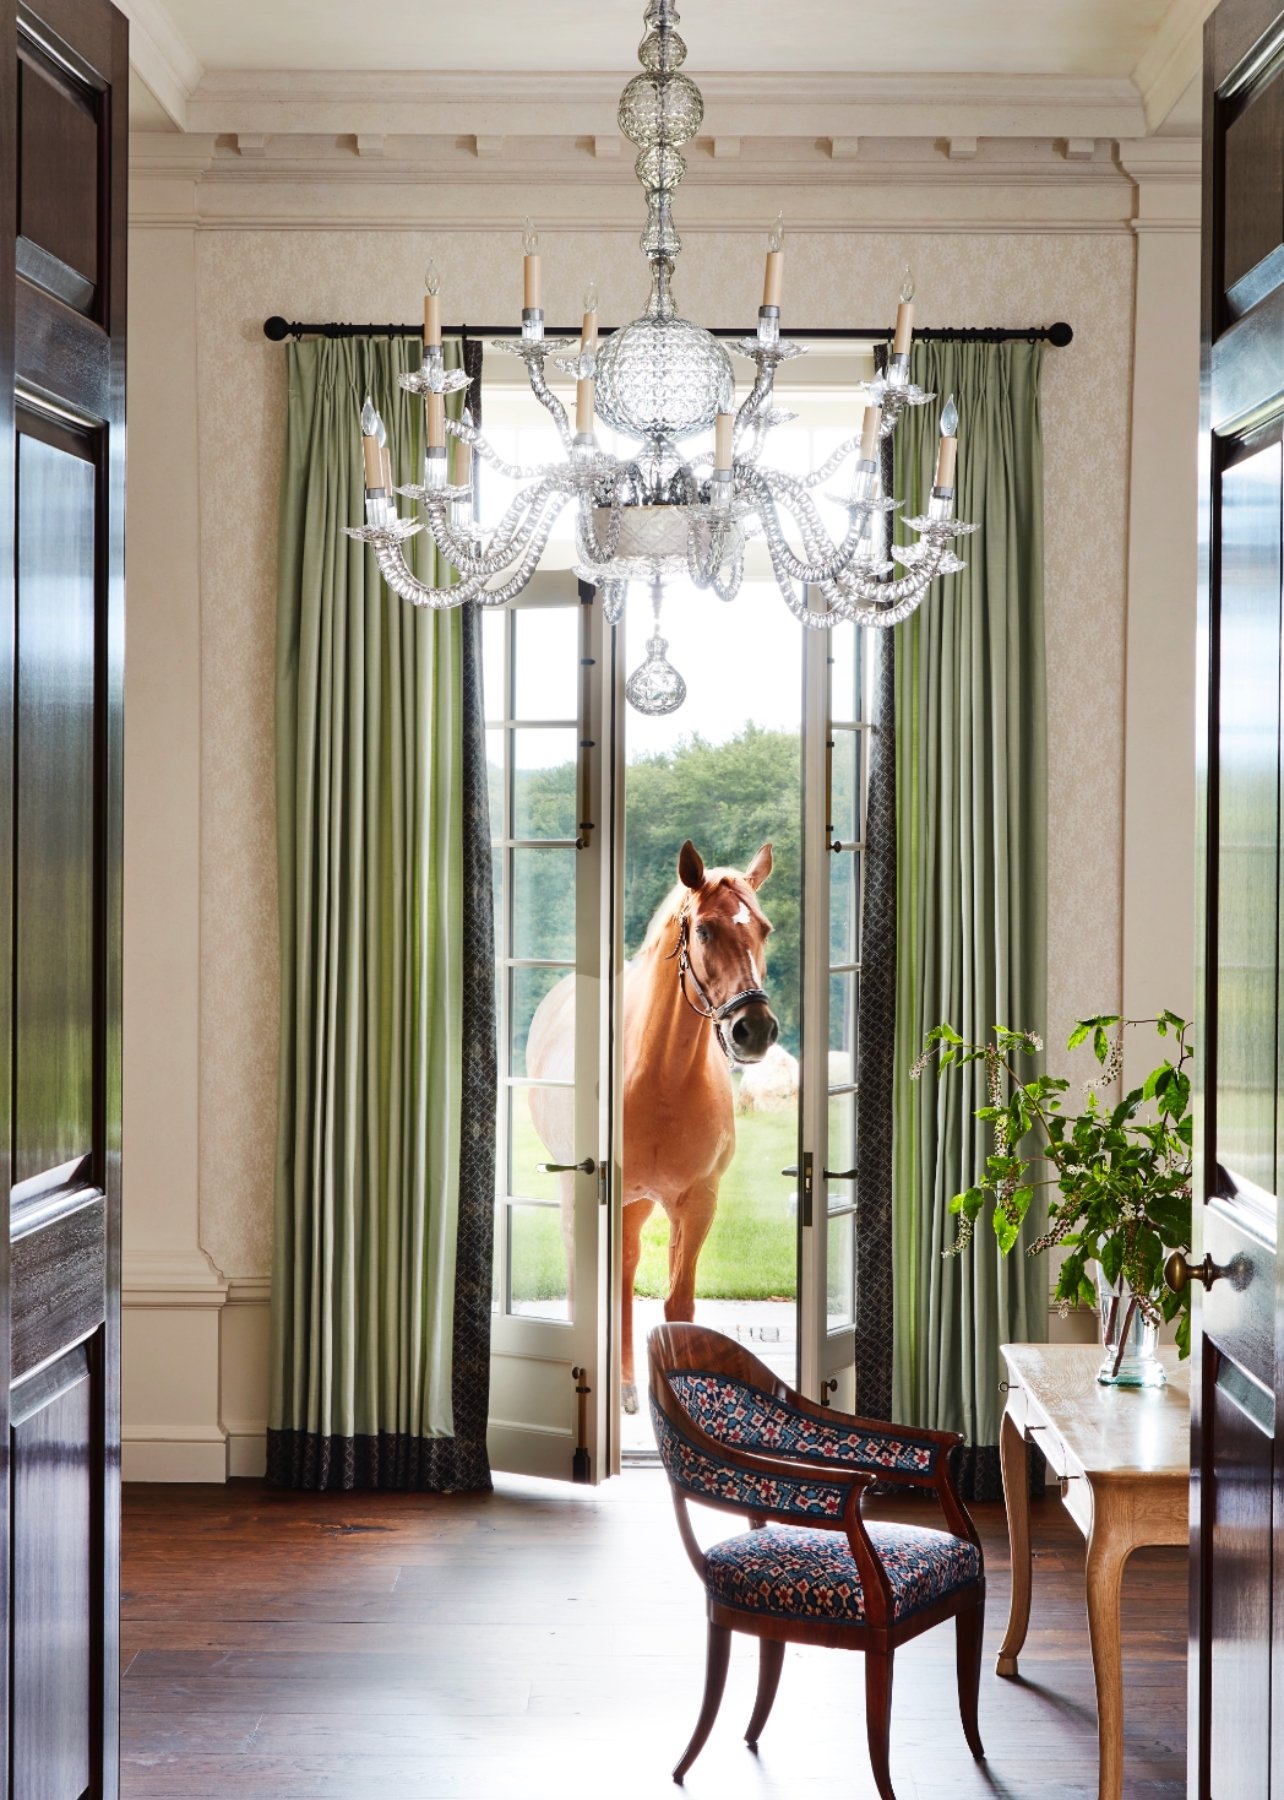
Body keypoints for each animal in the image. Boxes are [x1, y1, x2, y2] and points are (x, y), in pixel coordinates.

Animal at [525, 835, 777, 1411]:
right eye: (704, 929)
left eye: (763, 928)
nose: (754, 1029)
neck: (662, 1075)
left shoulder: (698, 1202)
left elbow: (678, 1305)